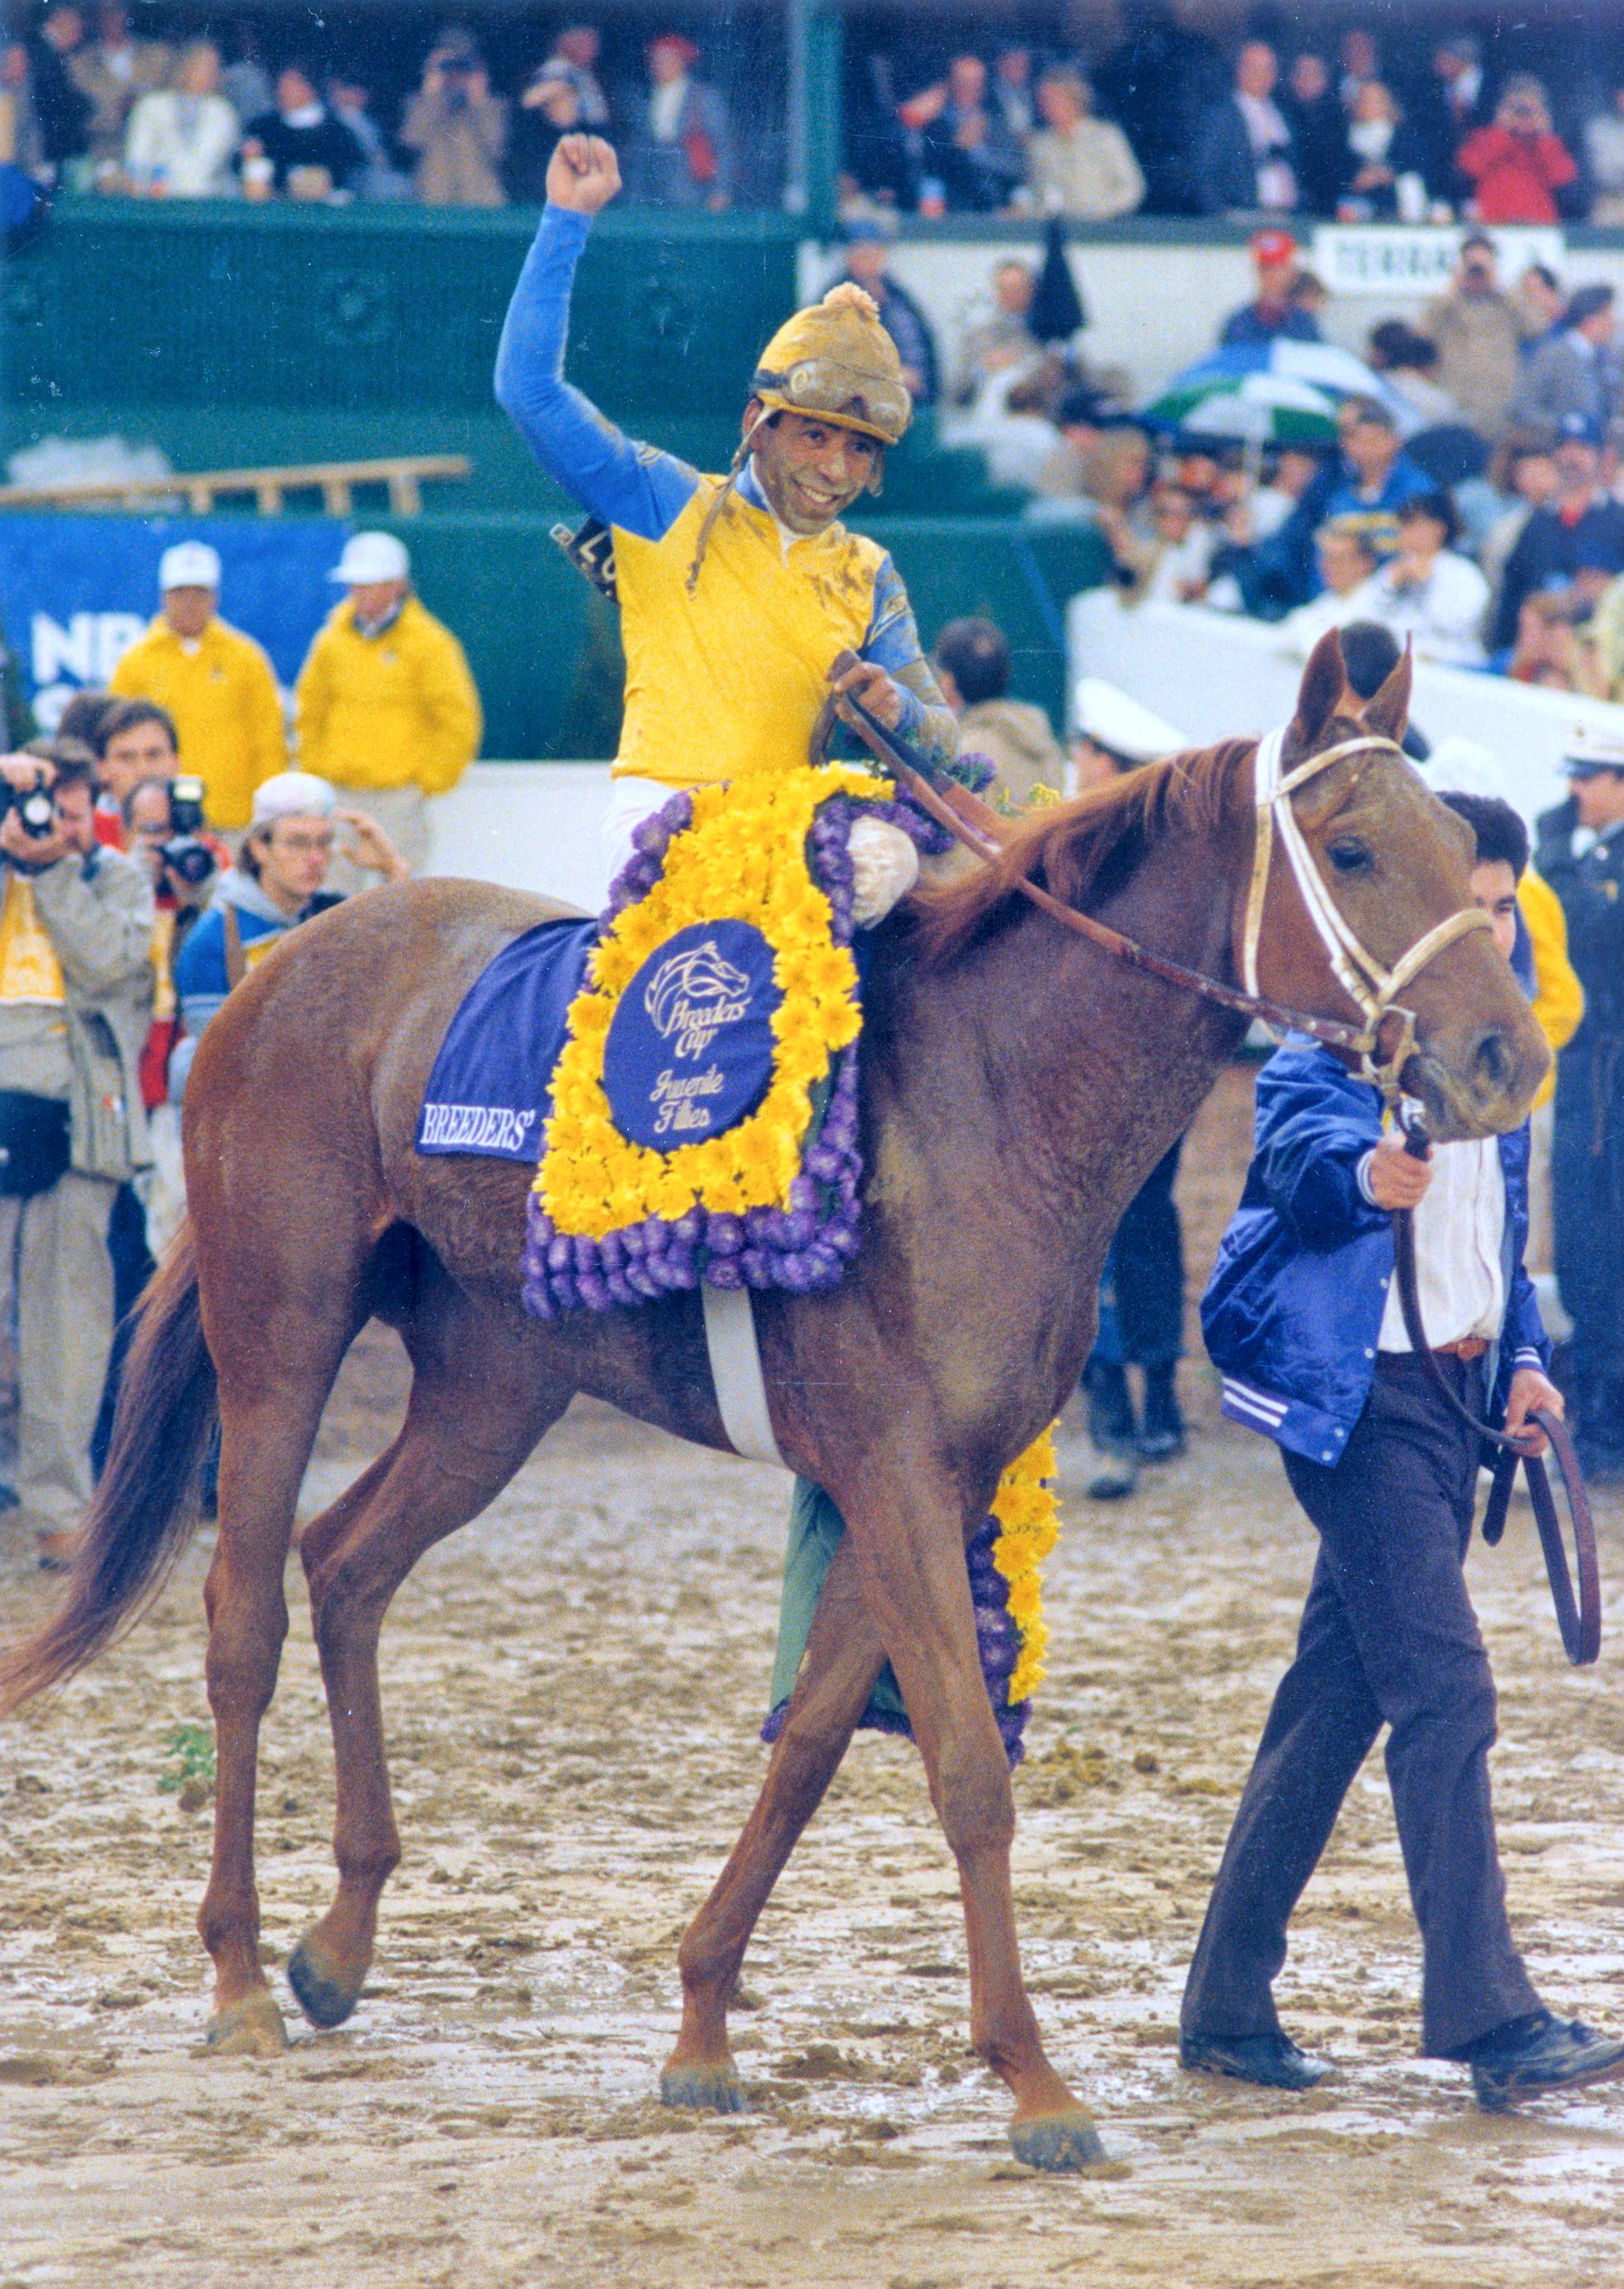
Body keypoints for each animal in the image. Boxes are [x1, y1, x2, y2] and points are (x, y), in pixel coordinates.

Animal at [2, 636, 1555, 2169]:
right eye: (1352, 848)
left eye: (1453, 837)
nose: (1510, 1058)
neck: (990, 1096)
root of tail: (284, 957)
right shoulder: (896, 1466)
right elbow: (967, 1767)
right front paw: (1035, 2082)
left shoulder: (923, 1472)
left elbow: (811, 1741)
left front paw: (702, 2023)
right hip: (280, 1329)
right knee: (244, 1619)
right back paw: (240, 1973)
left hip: (496, 1385)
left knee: (348, 1565)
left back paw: (339, 1941)